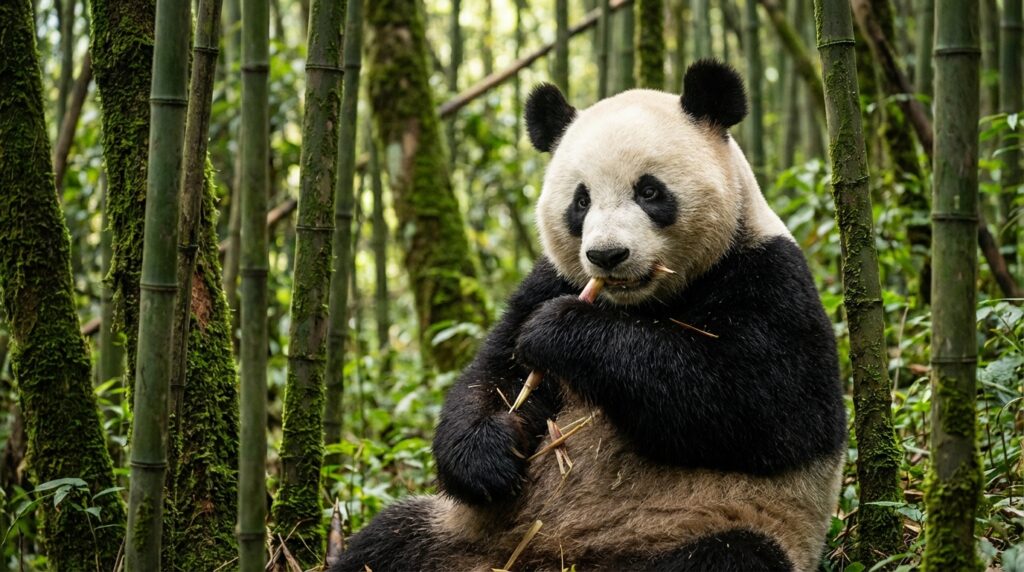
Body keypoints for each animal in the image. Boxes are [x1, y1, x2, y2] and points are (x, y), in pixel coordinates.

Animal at [332, 60, 847, 572]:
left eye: (649, 191)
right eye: (581, 201)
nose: (606, 255)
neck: (641, 302)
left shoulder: (771, 279)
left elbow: (756, 401)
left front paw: (560, 331)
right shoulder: (550, 278)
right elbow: (494, 373)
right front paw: (489, 454)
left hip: (713, 523)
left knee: (730, 556)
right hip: (459, 534)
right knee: (386, 541)